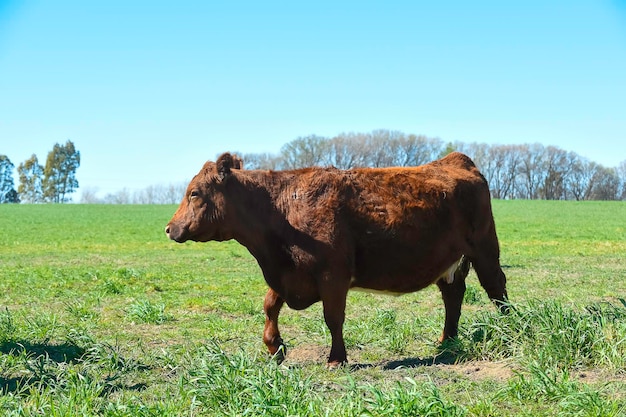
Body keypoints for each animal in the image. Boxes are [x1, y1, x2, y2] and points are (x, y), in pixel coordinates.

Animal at [165, 151, 508, 366]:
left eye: (194, 192)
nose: (169, 228)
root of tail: (456, 160)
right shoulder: (288, 273)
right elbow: (269, 305)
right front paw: (275, 347)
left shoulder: (333, 275)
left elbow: (333, 318)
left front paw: (336, 359)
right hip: (450, 261)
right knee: (453, 295)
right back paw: (446, 342)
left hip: (484, 248)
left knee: (496, 288)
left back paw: (510, 328)